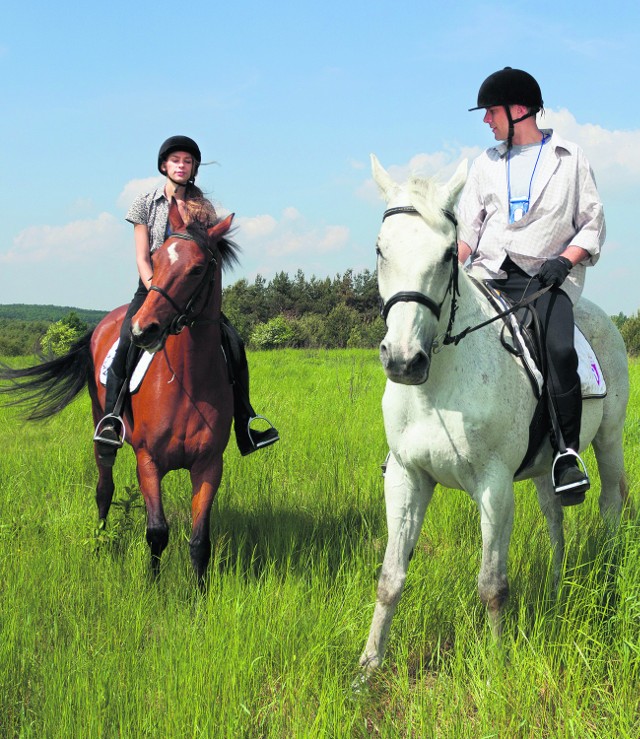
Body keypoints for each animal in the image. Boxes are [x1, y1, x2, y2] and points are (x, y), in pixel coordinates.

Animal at [0, 202, 240, 584]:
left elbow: (200, 541)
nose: (143, 330)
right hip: (101, 426)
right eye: (156, 260)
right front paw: (154, 588)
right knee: (104, 489)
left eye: (197, 268)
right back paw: (99, 544)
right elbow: (157, 532)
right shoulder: (148, 460)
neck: (187, 381)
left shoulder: (209, 465)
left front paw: (199, 594)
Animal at [360, 155, 632, 676]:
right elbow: (389, 578)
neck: (438, 388)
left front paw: (498, 664)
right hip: (549, 468)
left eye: (448, 254)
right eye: (380, 249)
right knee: (556, 521)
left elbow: (492, 585)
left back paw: (607, 579)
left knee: (612, 505)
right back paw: (556, 591)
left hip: (609, 440)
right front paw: (367, 669)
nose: (403, 361)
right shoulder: (406, 477)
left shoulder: (493, 485)